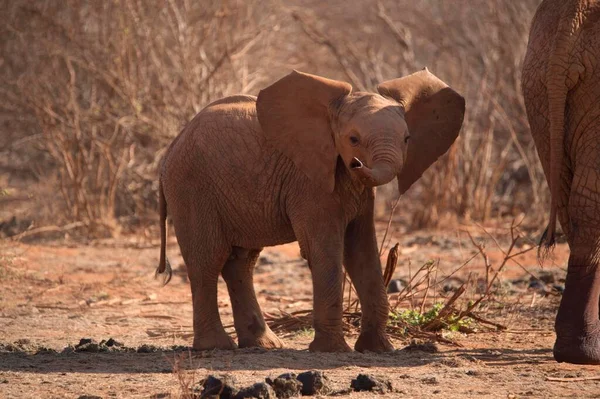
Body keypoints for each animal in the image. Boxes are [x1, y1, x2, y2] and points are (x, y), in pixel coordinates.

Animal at [155, 69, 464, 354]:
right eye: (353, 139)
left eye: (407, 138)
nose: (356, 164)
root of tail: (171, 146)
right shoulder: (310, 182)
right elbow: (324, 251)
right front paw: (333, 351)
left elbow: (361, 253)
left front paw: (378, 349)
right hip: (192, 187)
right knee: (207, 260)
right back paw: (216, 347)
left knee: (241, 262)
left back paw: (264, 345)